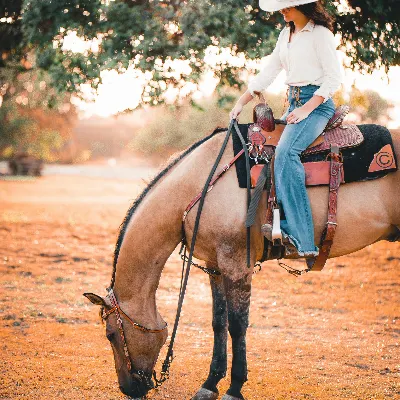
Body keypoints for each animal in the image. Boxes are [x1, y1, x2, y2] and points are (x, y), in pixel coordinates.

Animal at [84, 115, 400, 400]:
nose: (128, 389)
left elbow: (237, 326)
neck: (199, 185)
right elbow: (218, 323)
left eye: (111, 334)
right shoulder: (215, 266)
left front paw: (234, 388)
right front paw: (210, 384)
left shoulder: (237, 264)